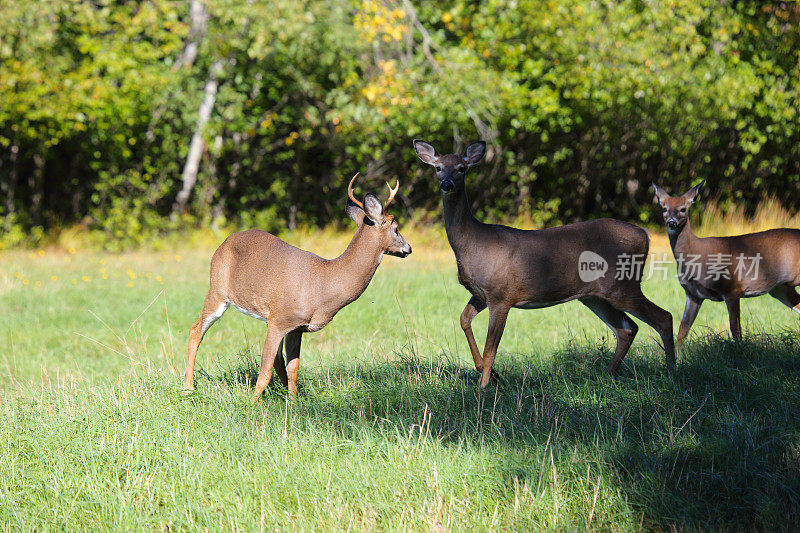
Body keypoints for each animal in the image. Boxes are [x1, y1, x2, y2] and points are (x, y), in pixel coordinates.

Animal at [185, 175, 412, 400]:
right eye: (396, 228)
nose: (408, 248)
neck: (324, 282)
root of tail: (224, 242)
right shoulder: (279, 322)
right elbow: (264, 370)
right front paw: (252, 403)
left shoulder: (295, 327)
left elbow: (292, 368)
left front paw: (294, 402)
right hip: (217, 291)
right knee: (196, 330)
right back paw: (188, 387)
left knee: (278, 361)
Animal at [412, 139, 676, 384]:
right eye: (438, 167)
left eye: (461, 168)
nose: (447, 184)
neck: (473, 243)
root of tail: (645, 234)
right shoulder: (480, 293)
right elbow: (464, 320)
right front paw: (493, 376)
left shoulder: (501, 295)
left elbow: (490, 352)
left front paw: (483, 388)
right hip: (594, 296)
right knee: (627, 329)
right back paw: (606, 376)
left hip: (623, 285)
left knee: (664, 317)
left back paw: (672, 371)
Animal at [652, 181, 800, 342]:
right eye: (665, 209)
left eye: (683, 209)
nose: (671, 222)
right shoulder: (693, 294)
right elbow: (682, 331)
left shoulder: (732, 288)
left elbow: (735, 330)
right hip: (780, 288)